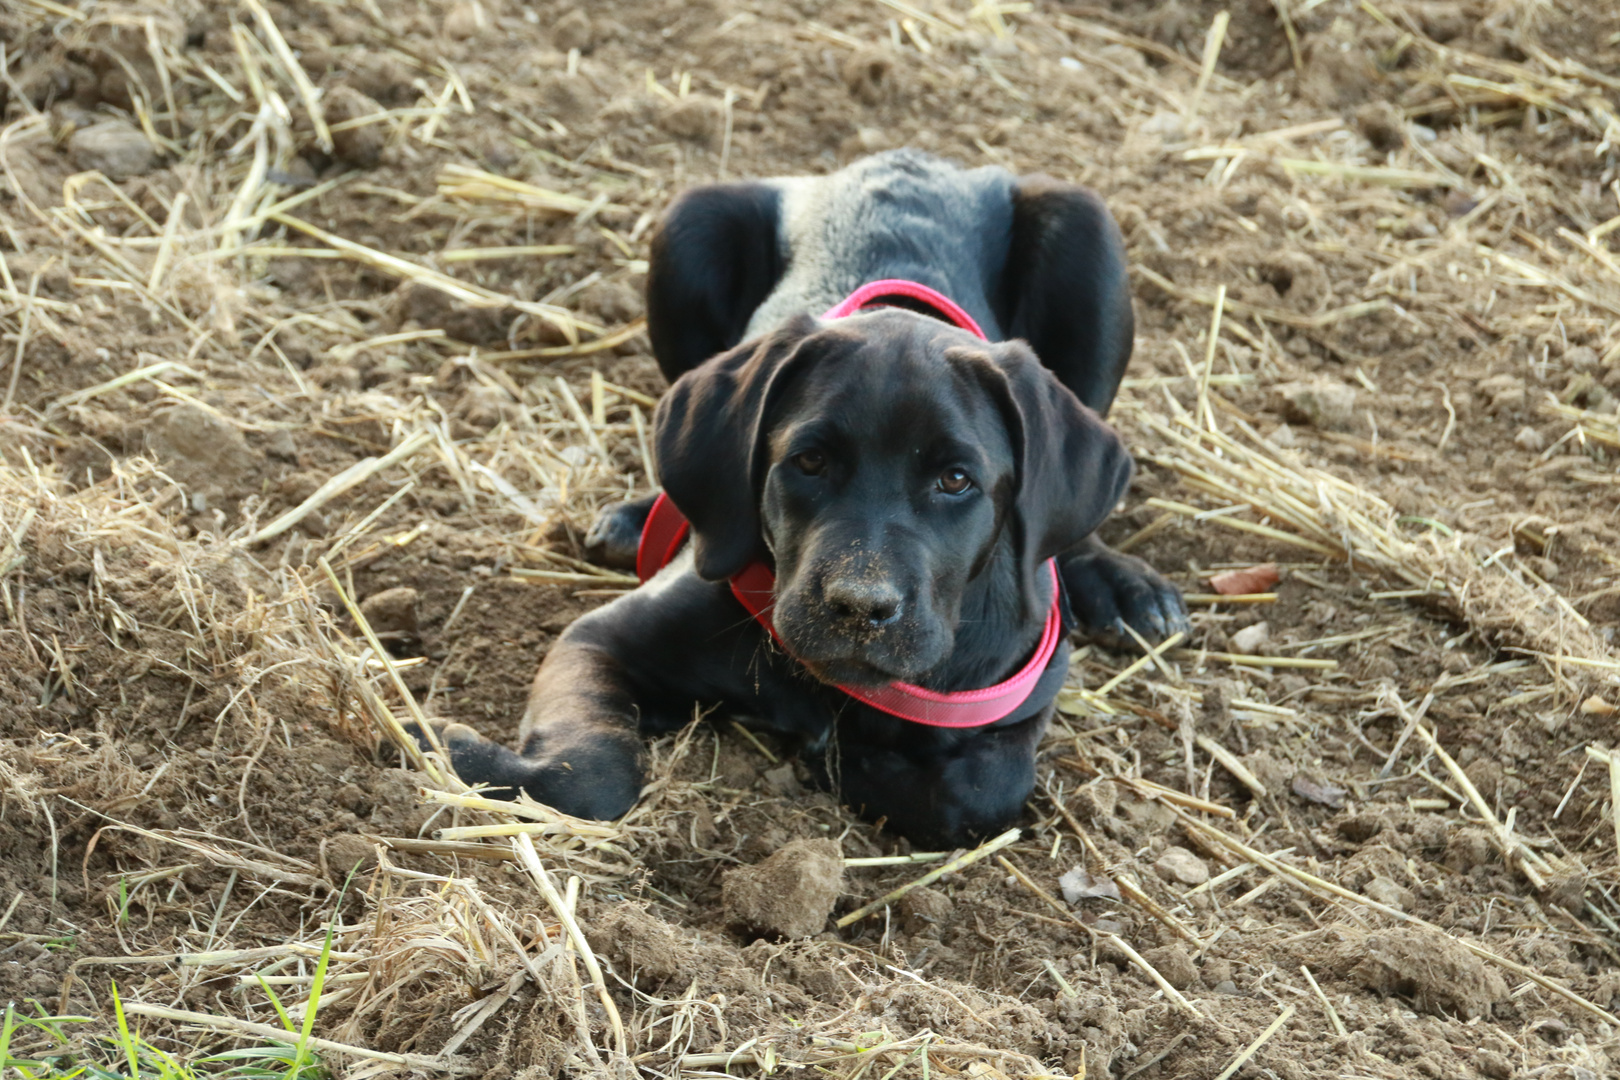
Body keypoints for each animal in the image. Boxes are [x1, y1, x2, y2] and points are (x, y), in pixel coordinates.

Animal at [411, 152, 1185, 848]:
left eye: (956, 480)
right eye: (808, 462)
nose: (860, 609)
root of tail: (915, 158)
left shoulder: (1017, 691)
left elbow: (978, 791)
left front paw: (853, 758)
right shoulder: (601, 639)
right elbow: (593, 770)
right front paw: (453, 746)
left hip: (1088, 235)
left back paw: (1119, 585)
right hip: (692, 222)